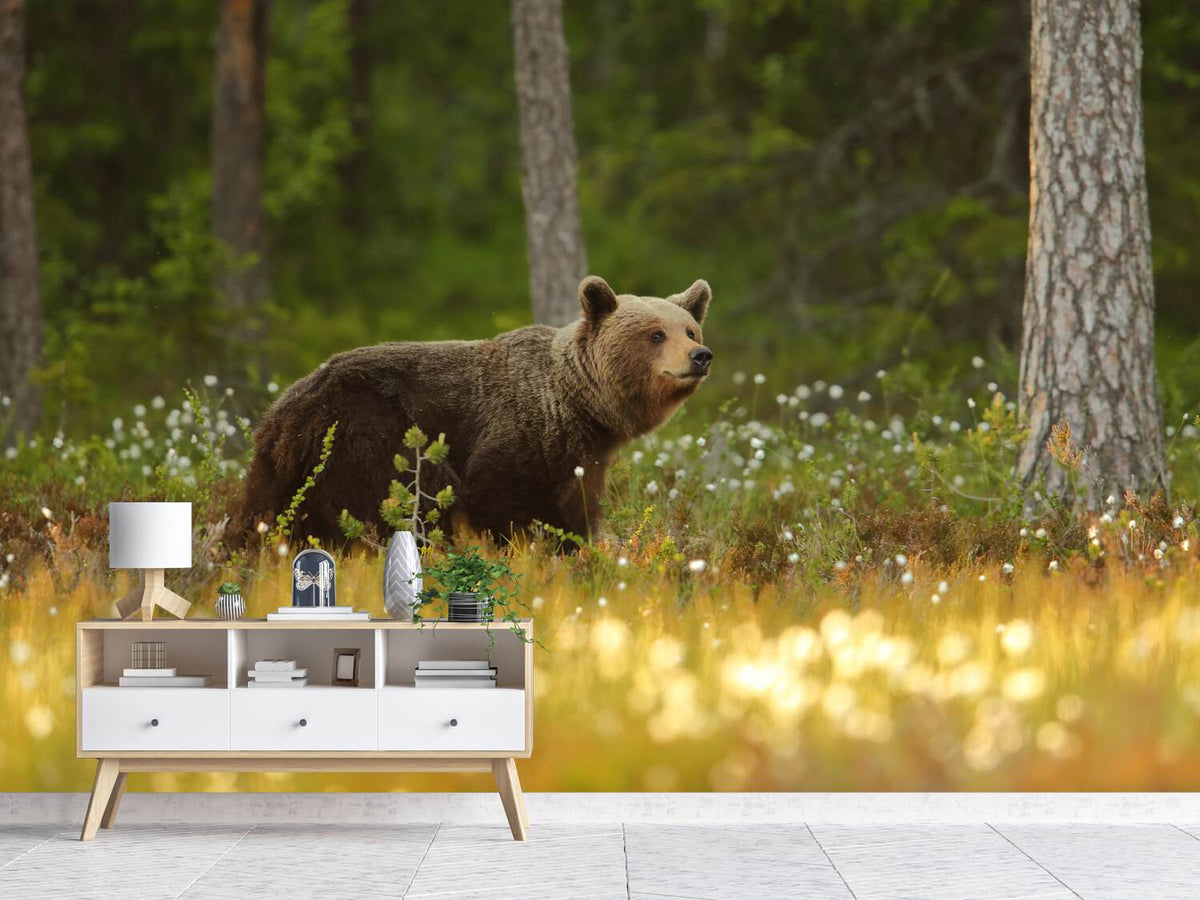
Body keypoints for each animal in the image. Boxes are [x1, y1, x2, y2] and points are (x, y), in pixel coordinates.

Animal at [239, 276, 713, 545]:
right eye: (656, 334)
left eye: (689, 329)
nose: (701, 355)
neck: (579, 407)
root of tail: (284, 410)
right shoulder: (517, 435)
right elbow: (501, 501)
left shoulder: (580, 458)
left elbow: (575, 512)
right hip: (369, 430)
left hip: (284, 468)